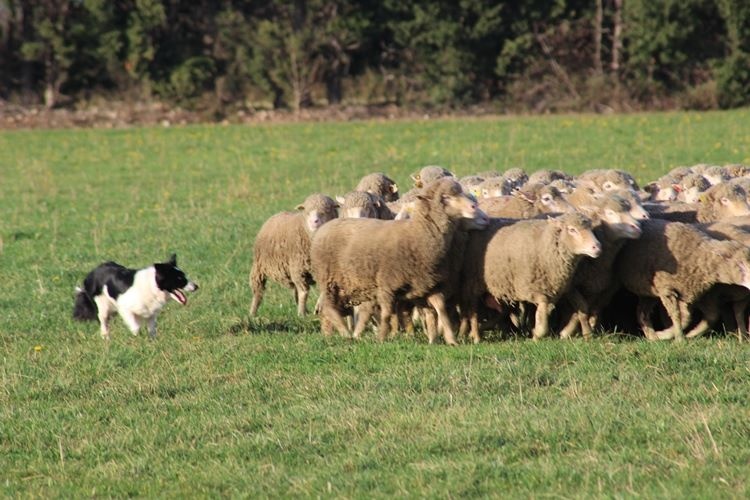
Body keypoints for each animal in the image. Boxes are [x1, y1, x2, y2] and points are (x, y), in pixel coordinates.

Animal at [310, 178, 490, 346]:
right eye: (445, 197)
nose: (474, 207)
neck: (417, 234)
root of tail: (325, 227)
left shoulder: (428, 284)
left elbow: (440, 310)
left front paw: (449, 339)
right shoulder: (386, 285)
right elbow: (387, 314)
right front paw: (382, 337)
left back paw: (351, 333)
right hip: (328, 278)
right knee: (328, 307)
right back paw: (345, 331)